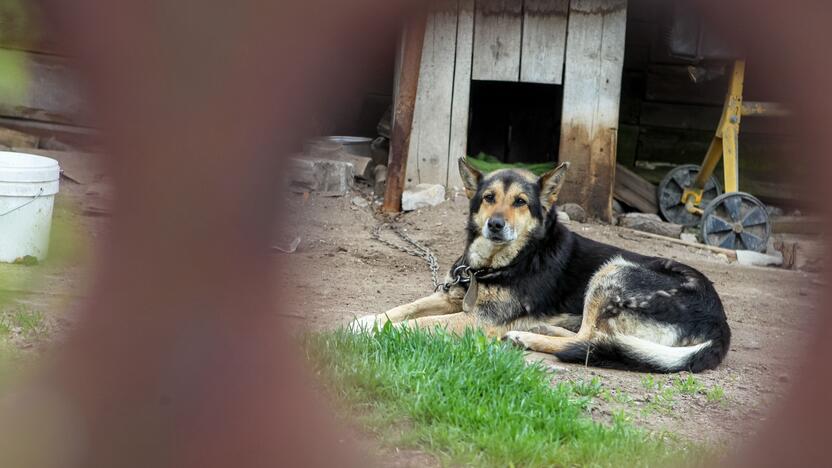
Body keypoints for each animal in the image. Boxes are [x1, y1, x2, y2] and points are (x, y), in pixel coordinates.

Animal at [352, 158, 728, 372]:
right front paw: (365, 319)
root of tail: (720, 326)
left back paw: (526, 336)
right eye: (488, 198)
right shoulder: (450, 294)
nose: (495, 225)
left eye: (520, 202)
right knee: (591, 336)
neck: (501, 262)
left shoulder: (477, 320)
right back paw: (543, 328)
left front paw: (377, 330)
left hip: (614, 270)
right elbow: (405, 307)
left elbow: (419, 323)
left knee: (590, 339)